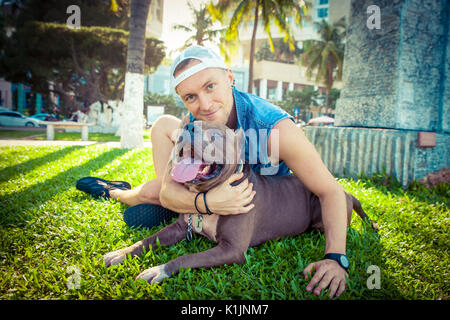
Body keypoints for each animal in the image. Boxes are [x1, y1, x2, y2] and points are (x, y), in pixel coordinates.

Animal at [103, 121, 378, 284]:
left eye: (215, 135)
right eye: (188, 122)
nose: (188, 127)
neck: (211, 193)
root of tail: (345, 191)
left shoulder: (231, 250)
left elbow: (186, 258)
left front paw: (158, 270)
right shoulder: (180, 228)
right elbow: (148, 240)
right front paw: (121, 253)